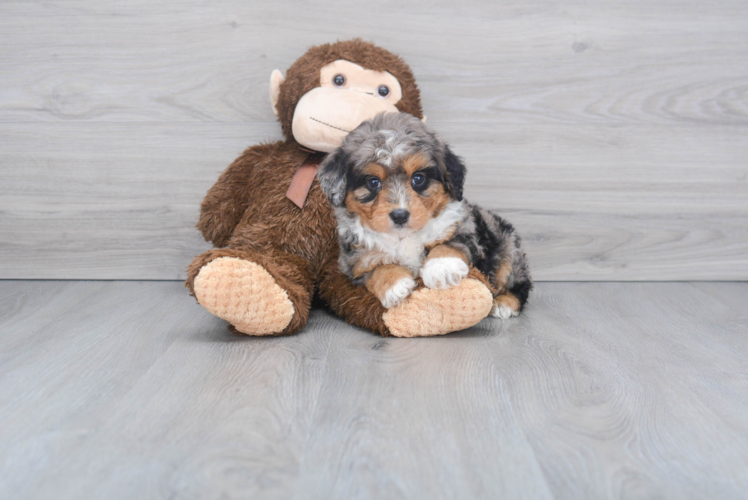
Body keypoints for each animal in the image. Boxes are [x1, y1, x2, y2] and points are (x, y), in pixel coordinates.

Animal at [316, 112, 532, 318]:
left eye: (418, 178)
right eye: (373, 182)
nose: (400, 215)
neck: (403, 236)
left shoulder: (464, 228)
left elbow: (450, 244)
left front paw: (442, 267)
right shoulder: (356, 262)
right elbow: (377, 268)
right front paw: (395, 285)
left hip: (508, 253)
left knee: (520, 284)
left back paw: (504, 304)